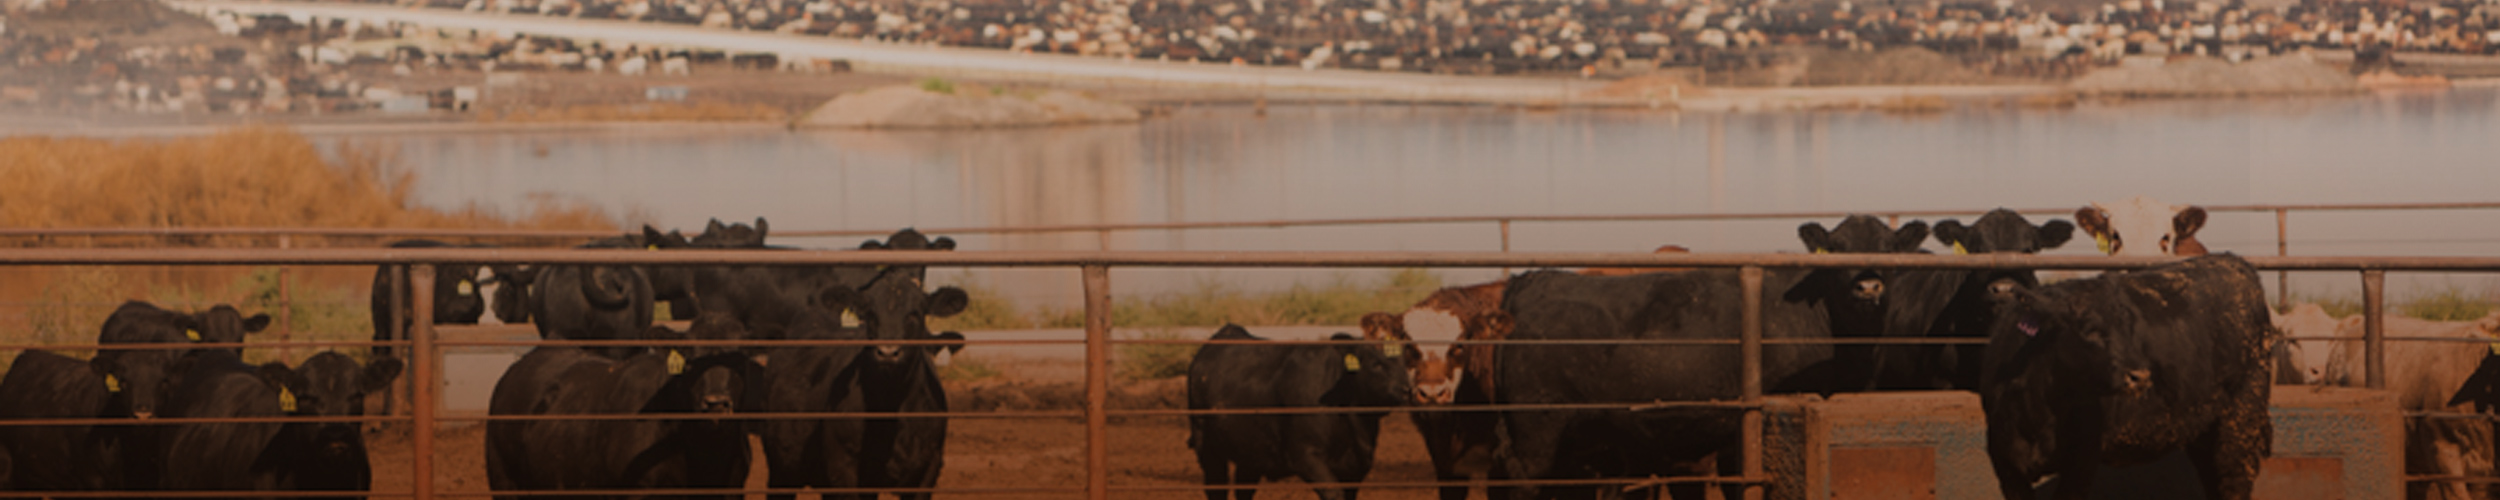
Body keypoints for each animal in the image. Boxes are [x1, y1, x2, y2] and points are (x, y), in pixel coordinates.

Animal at [1185, 325, 1410, 500]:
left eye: (1406, 363)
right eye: (1376, 364)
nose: (1406, 389)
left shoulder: (1356, 468)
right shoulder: (1306, 457)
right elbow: (1333, 493)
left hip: (1250, 451)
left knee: (1244, 489)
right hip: (1207, 446)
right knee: (1216, 488)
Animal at [1980, 253, 2280, 500]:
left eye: (2128, 328)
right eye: (2089, 329)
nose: (2141, 376)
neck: (2037, 410)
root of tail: (2235, 263)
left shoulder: (2081, 462)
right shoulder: (2006, 468)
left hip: (2241, 420)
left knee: (2234, 482)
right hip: (2204, 429)